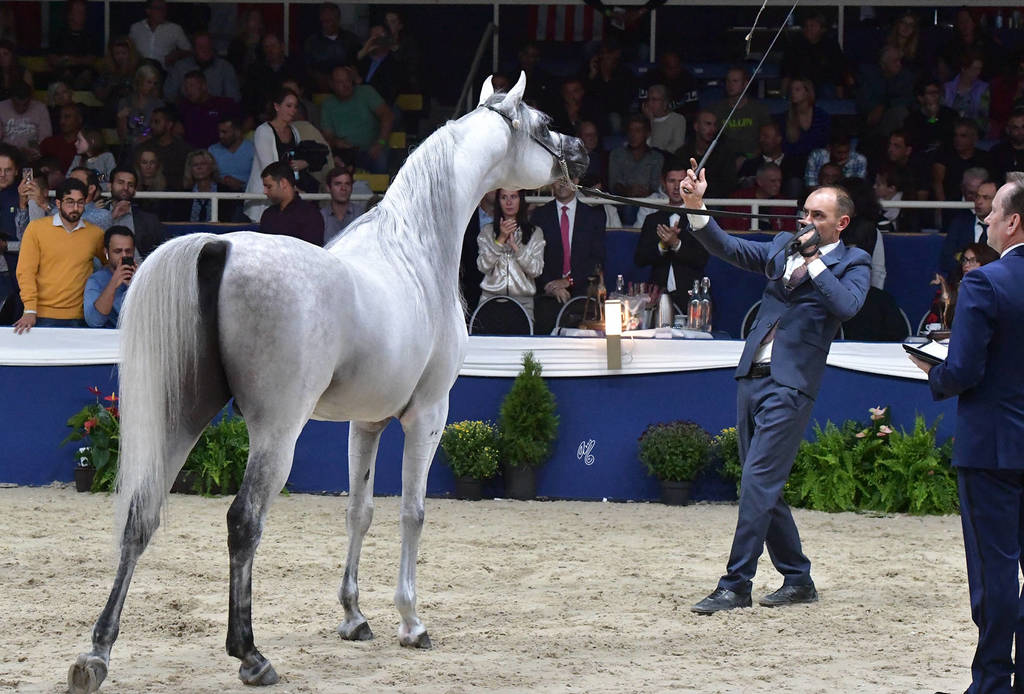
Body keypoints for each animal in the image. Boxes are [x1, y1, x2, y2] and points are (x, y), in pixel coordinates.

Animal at [68, 72, 588, 693]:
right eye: (543, 123)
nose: (579, 153)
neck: (414, 250)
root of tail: (217, 246)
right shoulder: (428, 414)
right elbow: (412, 512)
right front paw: (411, 623)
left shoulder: (366, 422)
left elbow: (358, 512)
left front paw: (354, 617)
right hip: (277, 431)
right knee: (243, 522)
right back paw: (251, 655)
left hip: (182, 416)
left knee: (140, 515)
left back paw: (96, 655)